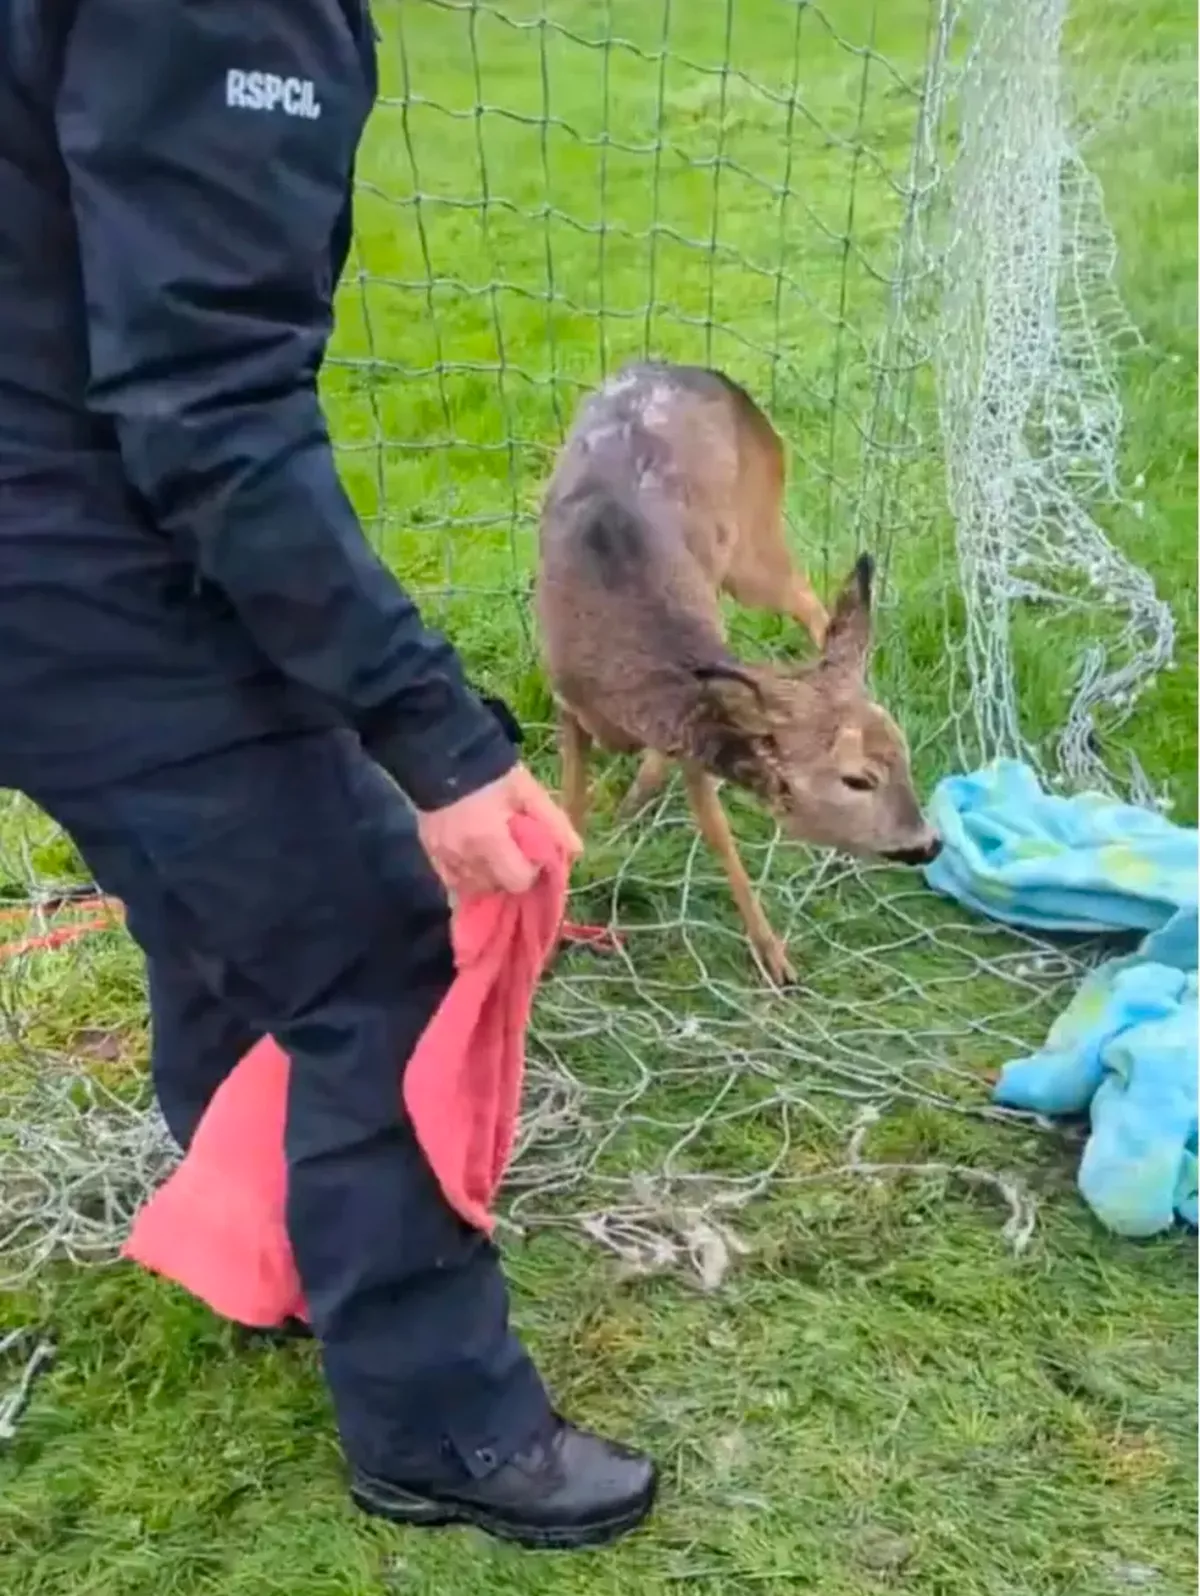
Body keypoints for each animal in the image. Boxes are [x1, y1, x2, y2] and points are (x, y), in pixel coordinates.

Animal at [535, 360, 941, 987]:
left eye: (903, 759)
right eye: (858, 779)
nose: (928, 843)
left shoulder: (689, 732)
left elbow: (719, 835)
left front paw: (773, 956)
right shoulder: (568, 705)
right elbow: (569, 819)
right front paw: (550, 939)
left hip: (751, 542)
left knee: (809, 598)